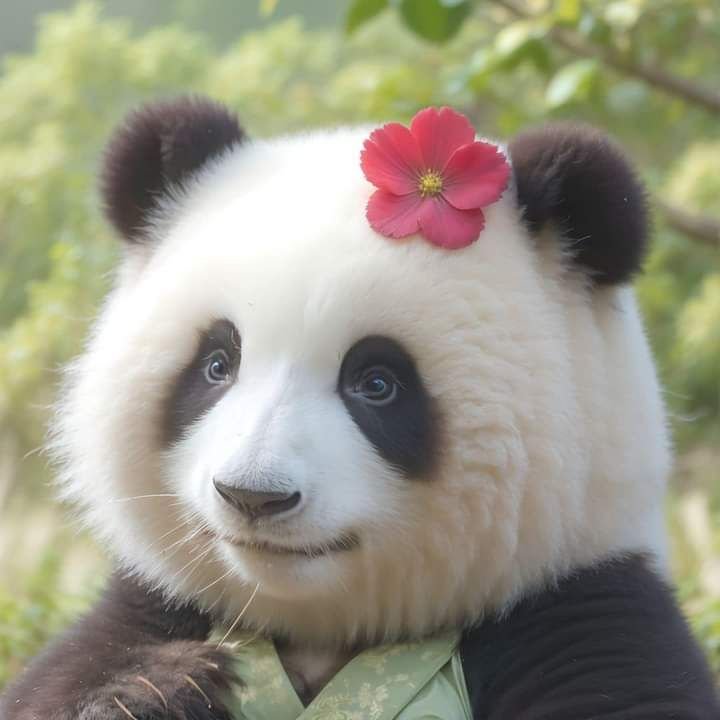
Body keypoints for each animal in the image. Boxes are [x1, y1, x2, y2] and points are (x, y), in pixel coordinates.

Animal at [1, 96, 718, 720]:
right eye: (216, 365)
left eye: (376, 383)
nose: (253, 496)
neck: (321, 631)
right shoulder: (151, 610)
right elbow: (72, 679)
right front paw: (151, 688)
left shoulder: (582, 612)